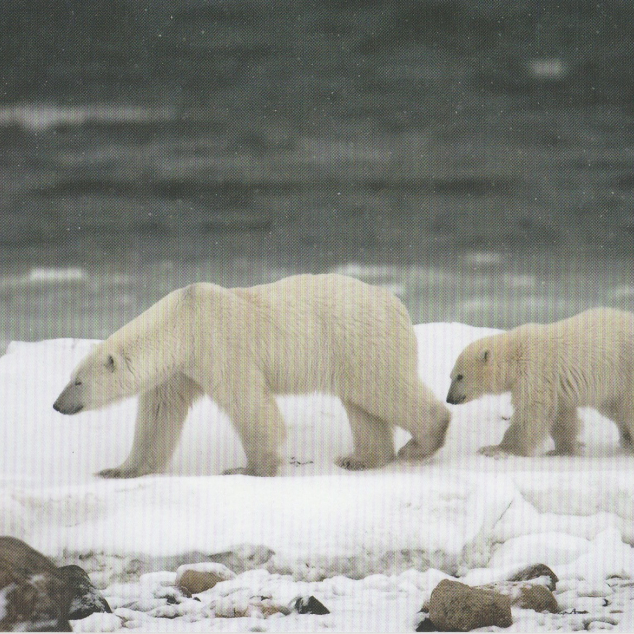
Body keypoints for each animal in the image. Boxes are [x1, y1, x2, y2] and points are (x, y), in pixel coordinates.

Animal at [54, 272, 450, 474]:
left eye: (77, 381)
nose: (58, 405)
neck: (183, 321)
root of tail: (397, 303)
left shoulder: (218, 344)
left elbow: (248, 403)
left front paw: (250, 469)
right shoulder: (180, 370)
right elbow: (158, 416)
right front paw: (119, 469)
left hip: (360, 339)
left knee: (382, 389)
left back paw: (418, 445)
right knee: (361, 402)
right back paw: (360, 458)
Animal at [444, 306, 632, 454]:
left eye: (460, 376)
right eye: (451, 376)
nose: (449, 399)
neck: (515, 353)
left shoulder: (534, 370)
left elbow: (532, 409)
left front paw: (496, 449)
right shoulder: (556, 386)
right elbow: (561, 414)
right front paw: (562, 450)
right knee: (614, 408)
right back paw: (627, 439)